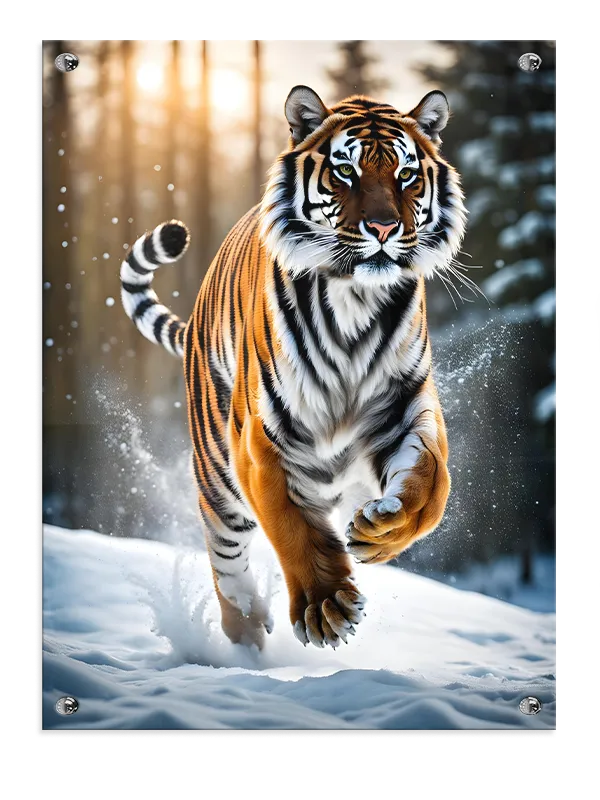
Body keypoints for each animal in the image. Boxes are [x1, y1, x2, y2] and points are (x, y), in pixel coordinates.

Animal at [120, 85, 467, 650]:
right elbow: (289, 523)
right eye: (346, 170)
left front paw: (381, 531)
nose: (384, 227)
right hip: (217, 467)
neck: (355, 299)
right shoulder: (262, 438)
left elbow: (432, 486)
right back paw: (245, 632)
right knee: (225, 550)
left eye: (406, 174)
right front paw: (326, 607)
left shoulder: (407, 406)